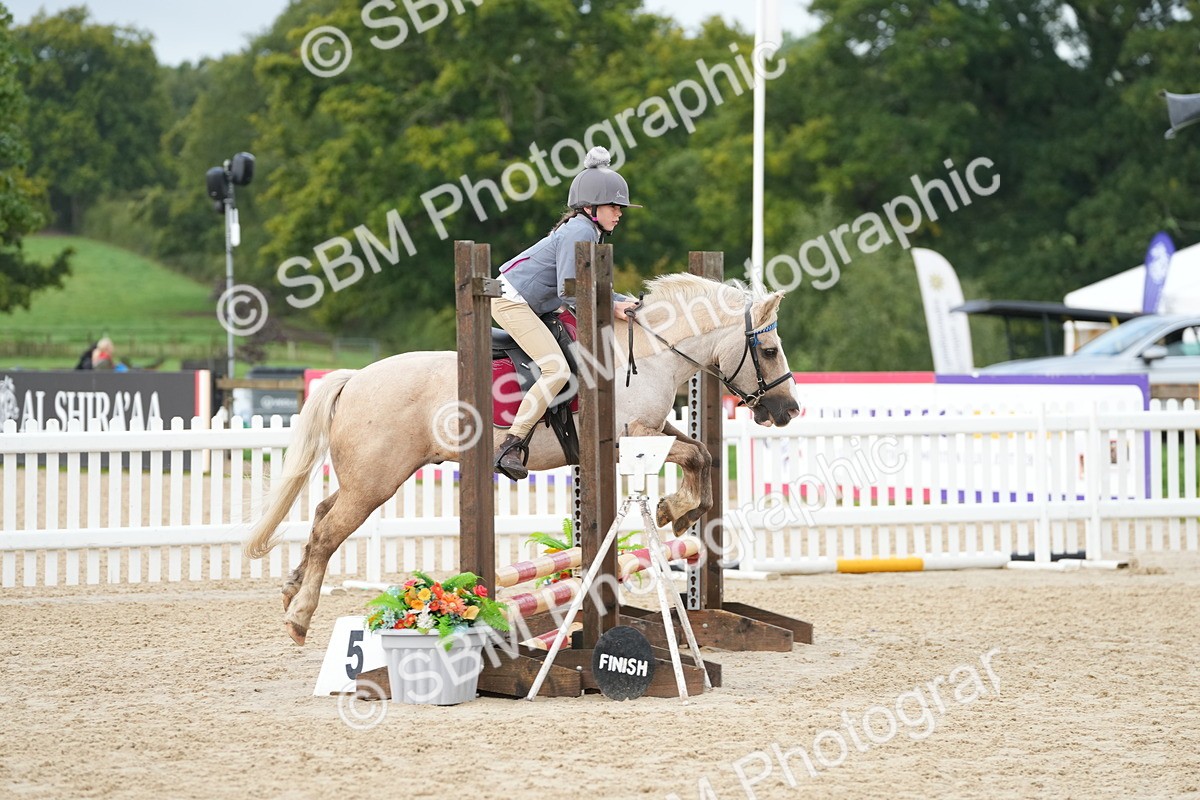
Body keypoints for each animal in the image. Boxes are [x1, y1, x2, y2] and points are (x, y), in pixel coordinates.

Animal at [244, 273, 800, 644]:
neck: (648, 352)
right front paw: (678, 509)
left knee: (321, 515)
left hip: (367, 479)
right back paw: (299, 618)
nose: (789, 410)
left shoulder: (652, 430)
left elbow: (700, 453)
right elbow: (696, 456)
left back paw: (290, 591)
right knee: (328, 532)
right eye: (770, 350)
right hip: (375, 483)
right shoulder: (625, 440)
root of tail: (355, 377)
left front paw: (677, 511)